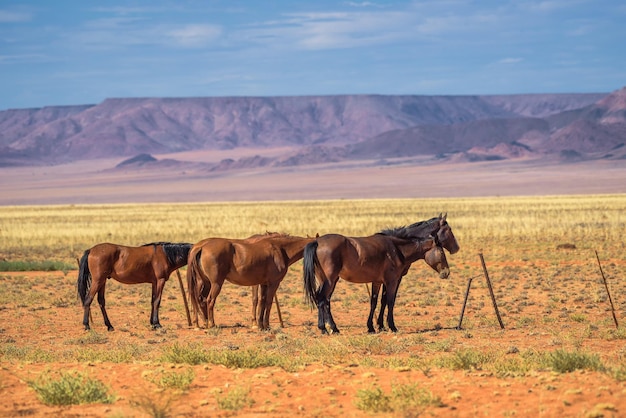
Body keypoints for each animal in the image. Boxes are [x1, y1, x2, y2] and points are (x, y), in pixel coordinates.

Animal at [184, 232, 312, 330]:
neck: (279, 249)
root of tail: (201, 247)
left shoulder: (263, 284)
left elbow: (261, 301)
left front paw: (260, 324)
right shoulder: (273, 283)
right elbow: (267, 302)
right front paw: (265, 324)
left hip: (204, 282)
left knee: (199, 300)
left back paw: (202, 323)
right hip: (215, 284)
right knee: (209, 300)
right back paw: (212, 324)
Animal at [300, 214, 456, 334]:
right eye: (442, 252)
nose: (446, 272)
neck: (397, 249)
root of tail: (317, 242)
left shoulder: (378, 281)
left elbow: (376, 302)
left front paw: (373, 327)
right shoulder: (393, 281)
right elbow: (390, 301)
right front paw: (391, 326)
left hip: (327, 280)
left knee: (324, 300)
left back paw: (333, 328)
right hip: (330, 280)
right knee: (322, 299)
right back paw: (325, 328)